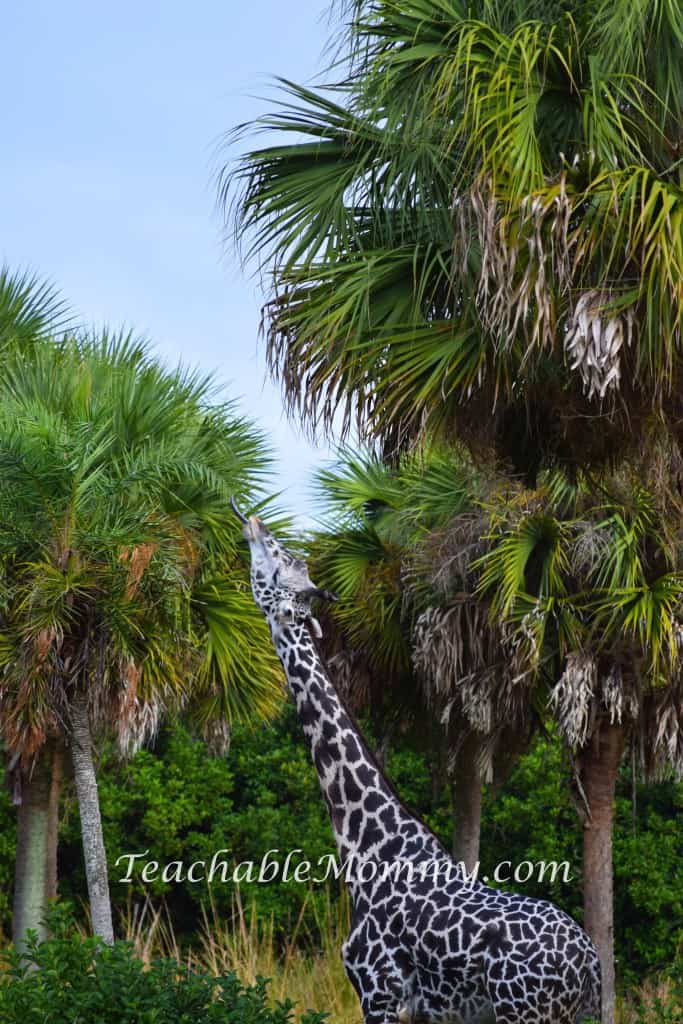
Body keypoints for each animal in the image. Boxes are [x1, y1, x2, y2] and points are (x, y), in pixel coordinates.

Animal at [232, 501, 602, 1024]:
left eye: (279, 561)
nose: (254, 521)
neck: (368, 850)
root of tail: (590, 964)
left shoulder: (379, 993)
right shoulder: (422, 1009)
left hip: (526, 1012)